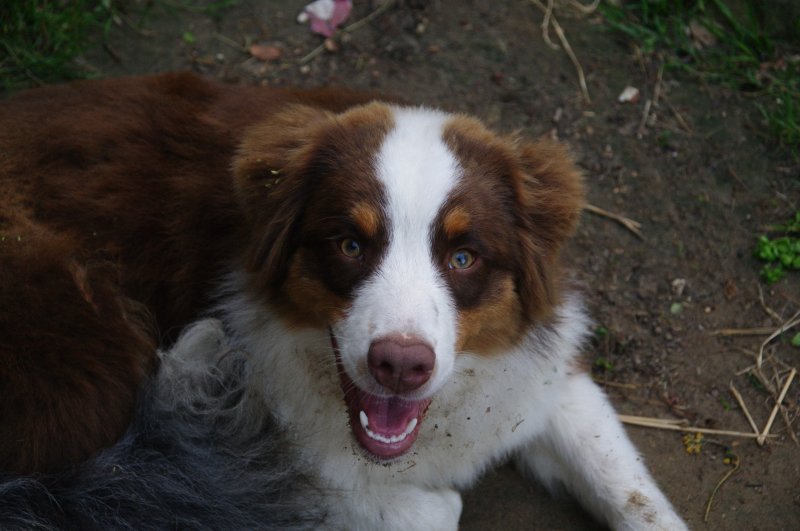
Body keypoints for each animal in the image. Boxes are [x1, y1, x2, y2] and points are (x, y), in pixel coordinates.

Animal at [0, 72, 688, 528]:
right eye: (351, 244)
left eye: (463, 257)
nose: (401, 365)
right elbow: (399, 504)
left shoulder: (544, 373)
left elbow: (629, 488)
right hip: (86, 356)